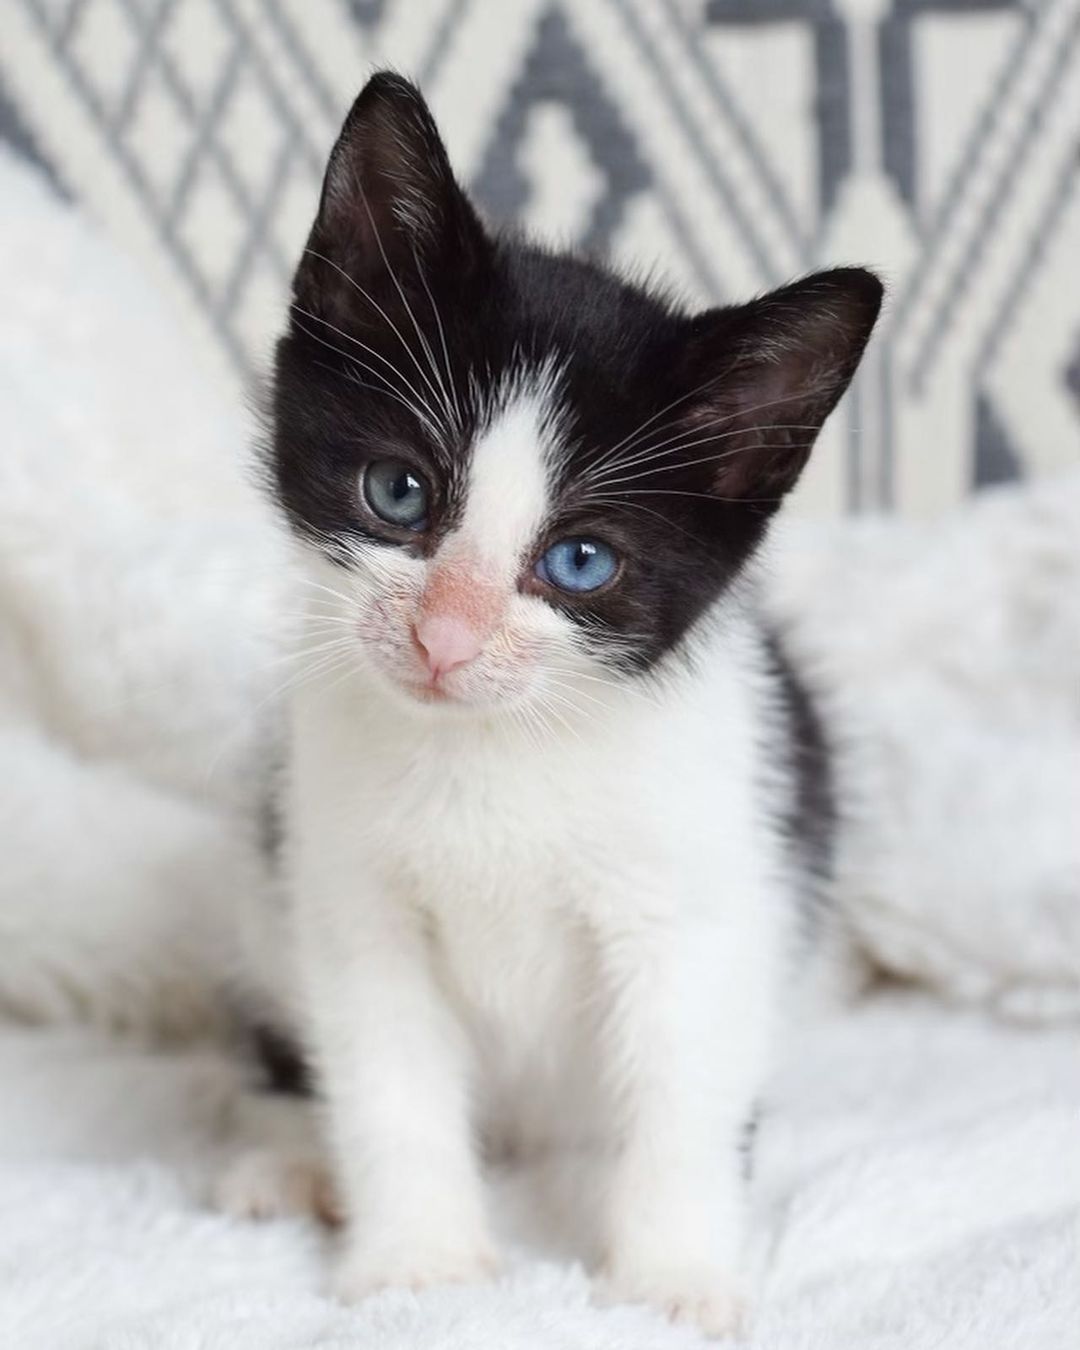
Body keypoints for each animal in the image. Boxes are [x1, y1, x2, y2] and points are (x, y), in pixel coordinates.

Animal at [251, 73, 874, 1339]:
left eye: (581, 562)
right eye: (397, 492)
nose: (444, 638)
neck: (497, 751)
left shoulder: (706, 893)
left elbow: (684, 1081)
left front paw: (673, 1280)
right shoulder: (347, 894)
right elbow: (385, 1074)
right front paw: (419, 1266)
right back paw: (288, 1155)